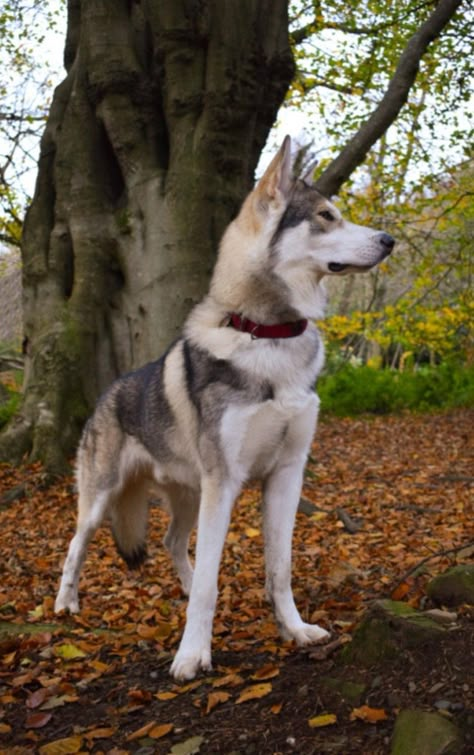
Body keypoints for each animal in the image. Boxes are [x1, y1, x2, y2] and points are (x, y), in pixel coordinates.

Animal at [54, 136, 396, 680]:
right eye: (326, 216)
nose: (389, 240)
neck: (269, 335)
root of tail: (107, 392)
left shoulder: (286, 474)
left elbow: (279, 568)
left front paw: (294, 630)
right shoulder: (226, 481)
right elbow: (212, 585)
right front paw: (192, 655)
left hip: (190, 495)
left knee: (172, 544)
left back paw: (183, 581)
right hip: (105, 498)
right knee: (75, 545)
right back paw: (65, 603)